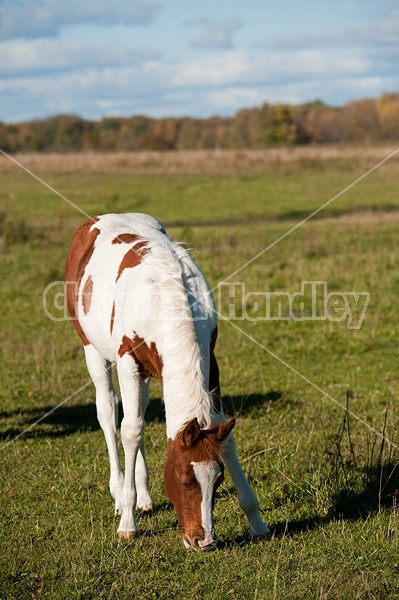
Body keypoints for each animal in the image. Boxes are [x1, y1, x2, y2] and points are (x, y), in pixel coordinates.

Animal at [66, 213, 272, 552]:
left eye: (218, 480)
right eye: (185, 481)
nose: (203, 540)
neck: (165, 299)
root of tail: (97, 220)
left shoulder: (210, 361)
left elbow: (224, 436)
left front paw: (257, 522)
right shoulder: (128, 361)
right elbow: (131, 431)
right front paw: (127, 522)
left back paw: (144, 496)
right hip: (92, 349)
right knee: (108, 413)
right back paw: (118, 492)